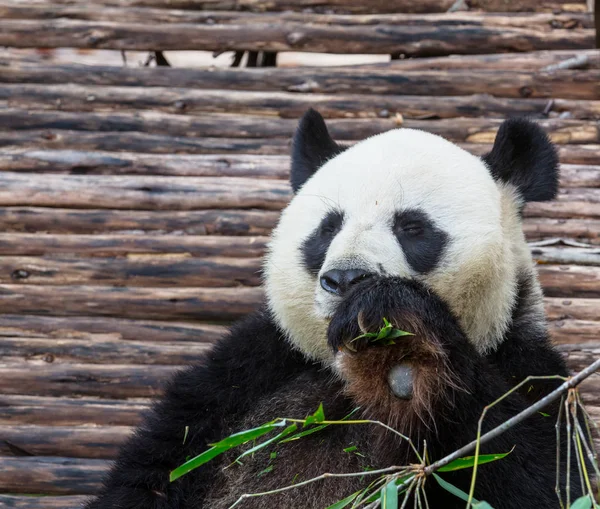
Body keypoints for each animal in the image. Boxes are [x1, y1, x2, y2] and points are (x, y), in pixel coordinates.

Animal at [85, 109, 576, 506]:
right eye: (328, 227)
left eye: (412, 227)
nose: (345, 279)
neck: (346, 375)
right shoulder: (244, 378)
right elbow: (154, 473)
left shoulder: (527, 369)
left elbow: (536, 474)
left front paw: (404, 347)